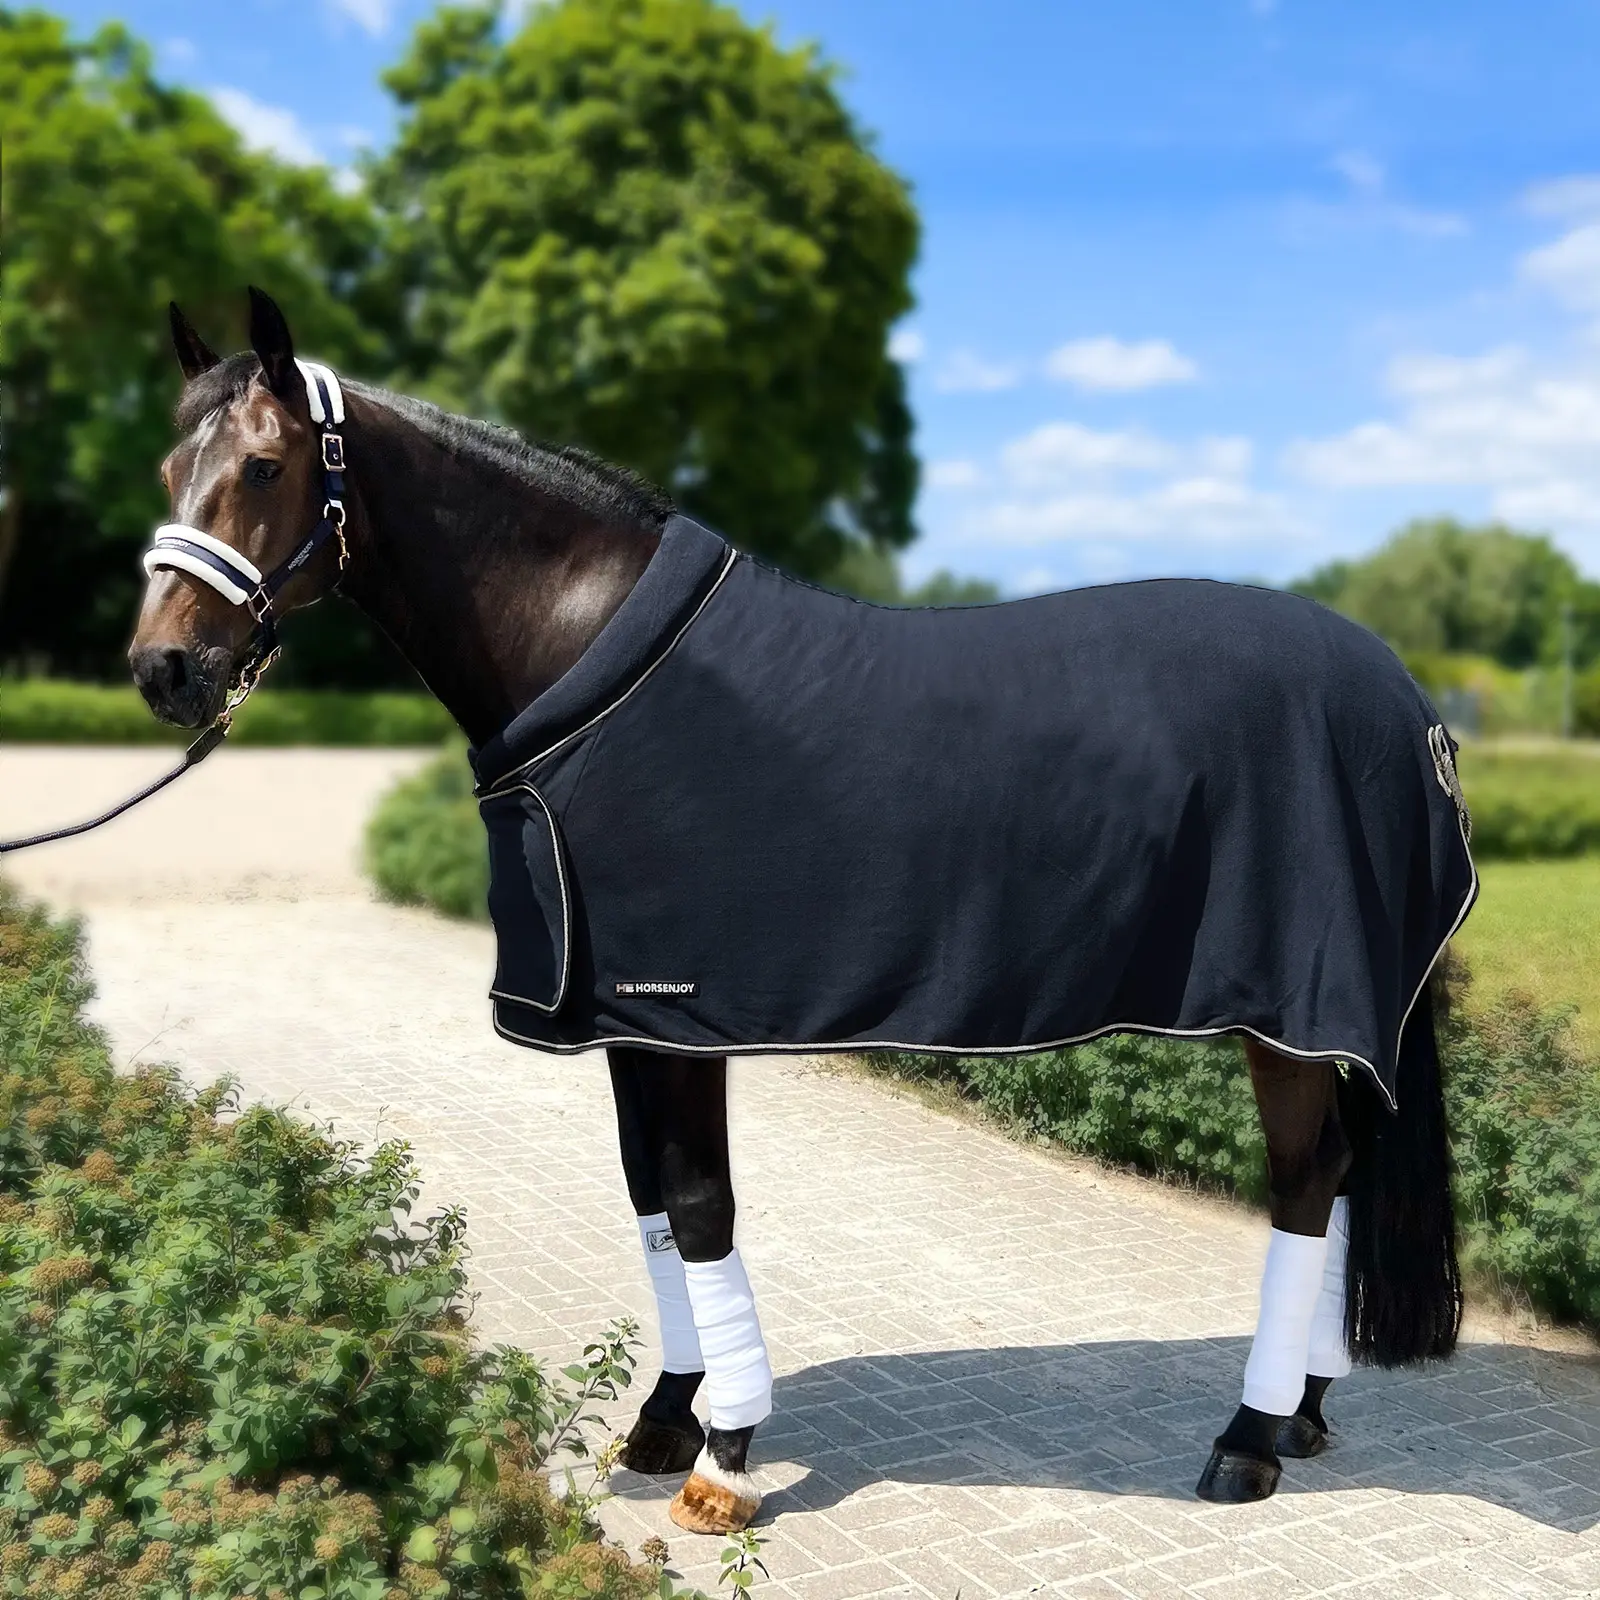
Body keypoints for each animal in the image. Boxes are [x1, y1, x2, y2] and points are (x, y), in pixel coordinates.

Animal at [128, 288, 1475, 1538]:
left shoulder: (683, 1012)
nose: (164, 669)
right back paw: (1302, 1412)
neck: (587, 649)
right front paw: (665, 1419)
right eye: (168, 470)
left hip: (1286, 1005)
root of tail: (1406, 697)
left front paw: (725, 1457)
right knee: (1342, 1170)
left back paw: (1245, 1438)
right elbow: (650, 1203)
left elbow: (699, 1203)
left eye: (265, 466)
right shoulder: (622, 1015)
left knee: (1304, 1179)